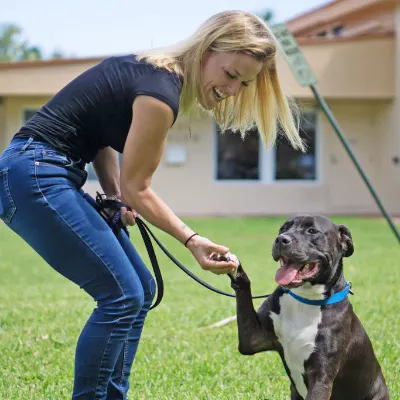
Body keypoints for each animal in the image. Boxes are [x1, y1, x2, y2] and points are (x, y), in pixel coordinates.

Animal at [230, 216, 390, 400]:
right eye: (283, 228)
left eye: (312, 231)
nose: (281, 239)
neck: (305, 298)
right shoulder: (253, 339)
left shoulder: (321, 377)